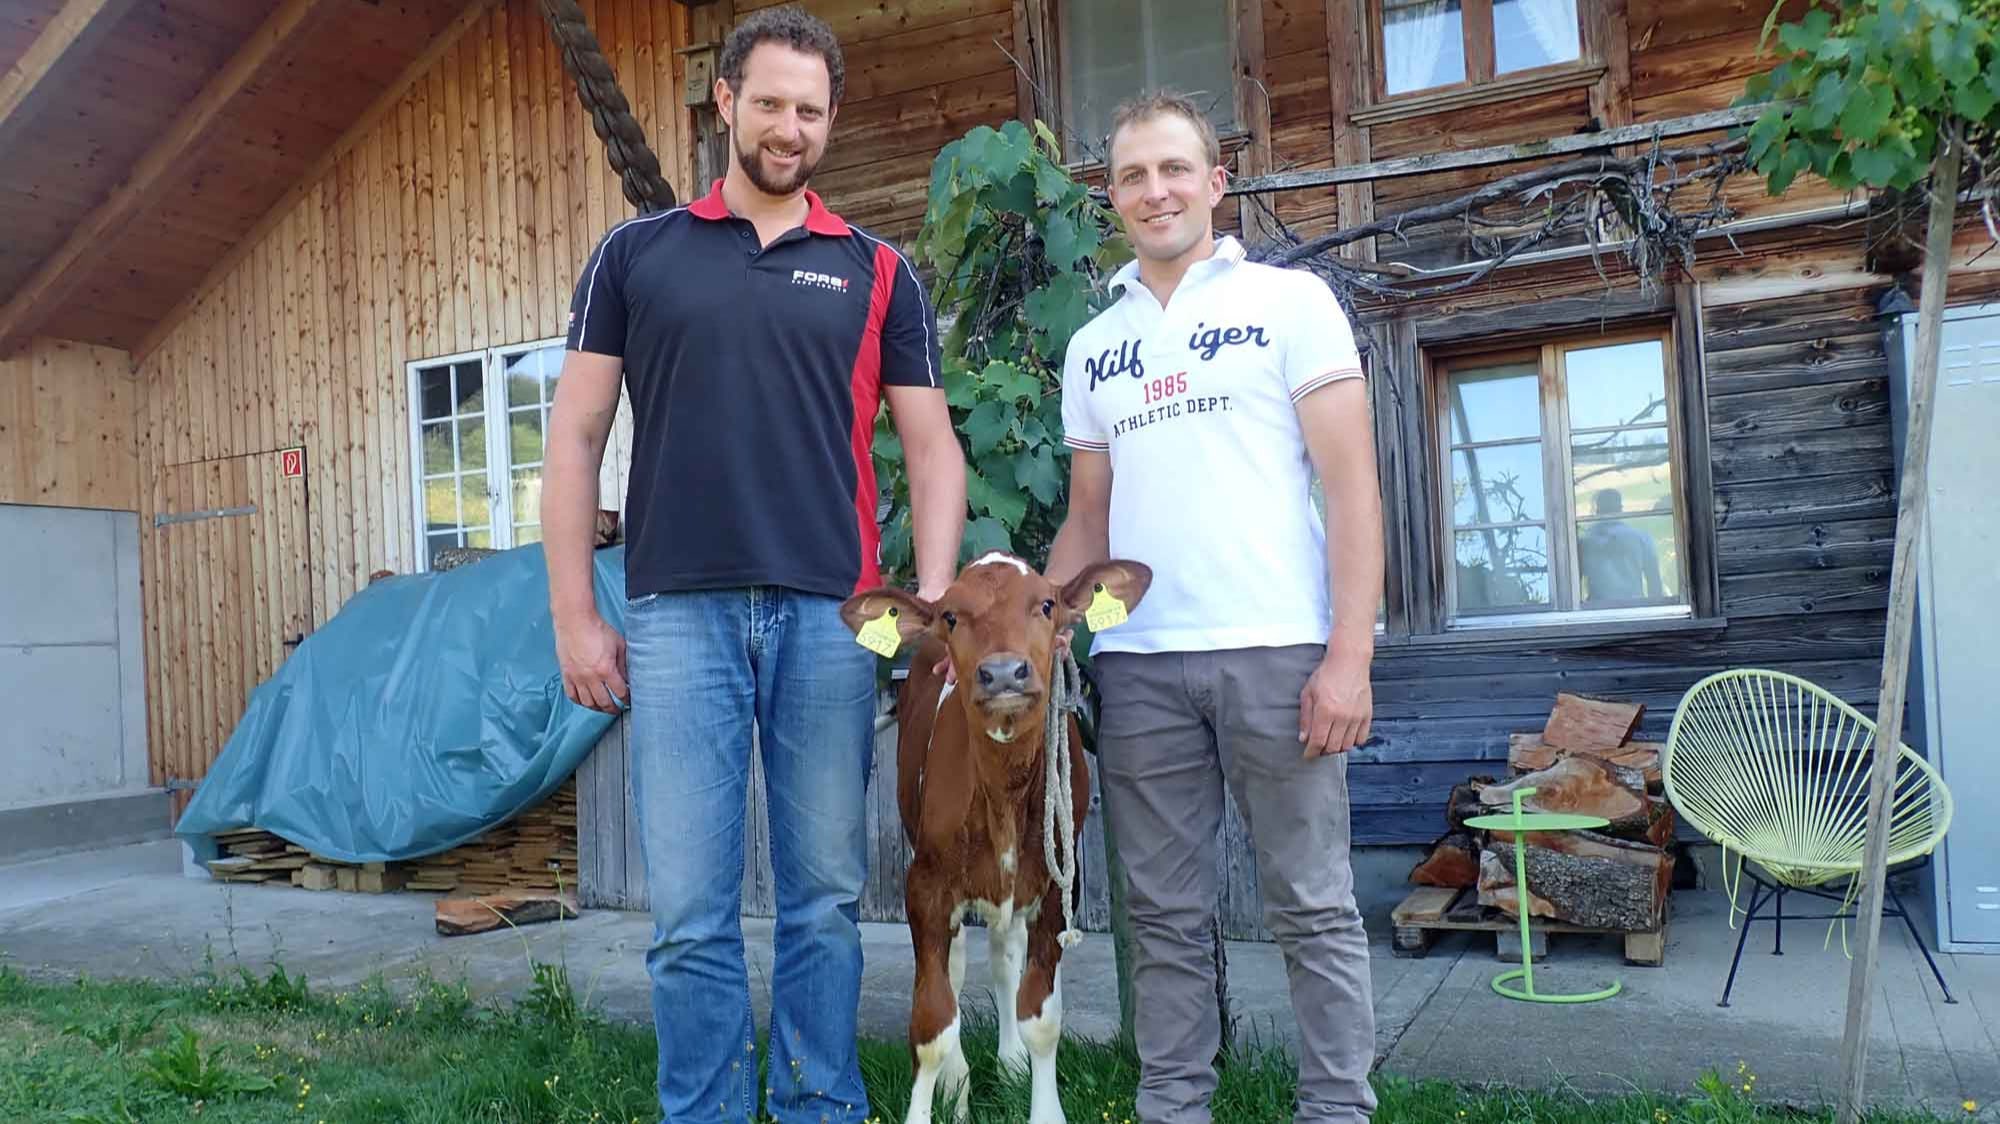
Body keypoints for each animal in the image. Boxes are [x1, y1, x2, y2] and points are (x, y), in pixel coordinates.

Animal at [844, 552, 1160, 1120]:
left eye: (1047, 604)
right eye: (951, 615)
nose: (1004, 672)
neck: (1004, 797)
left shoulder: (1057, 889)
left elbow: (1042, 1016)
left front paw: (1042, 1103)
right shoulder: (925, 887)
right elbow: (932, 1023)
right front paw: (941, 1093)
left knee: (1003, 953)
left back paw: (1010, 1063)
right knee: (955, 966)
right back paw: (958, 1084)